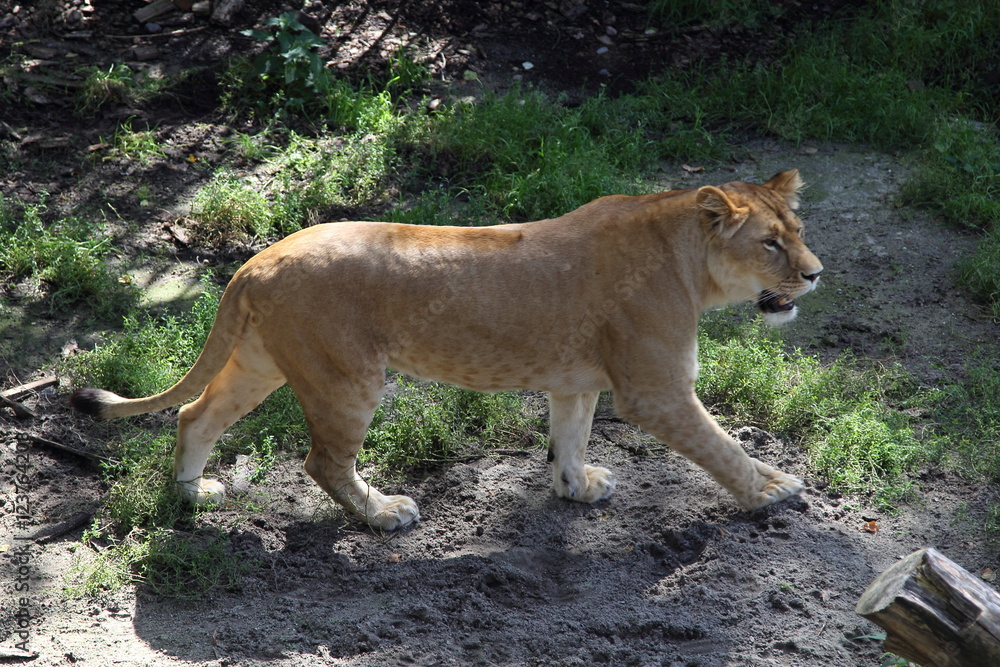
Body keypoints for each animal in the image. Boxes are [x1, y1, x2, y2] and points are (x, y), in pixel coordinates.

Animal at [71, 169, 822, 531]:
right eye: (770, 244)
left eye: (800, 231)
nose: (815, 274)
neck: (686, 259)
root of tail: (259, 258)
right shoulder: (655, 390)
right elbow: (722, 447)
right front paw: (771, 491)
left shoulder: (576, 380)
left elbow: (571, 436)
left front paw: (577, 487)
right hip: (345, 378)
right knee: (323, 461)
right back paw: (384, 515)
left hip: (263, 363)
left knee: (193, 415)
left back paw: (191, 498)